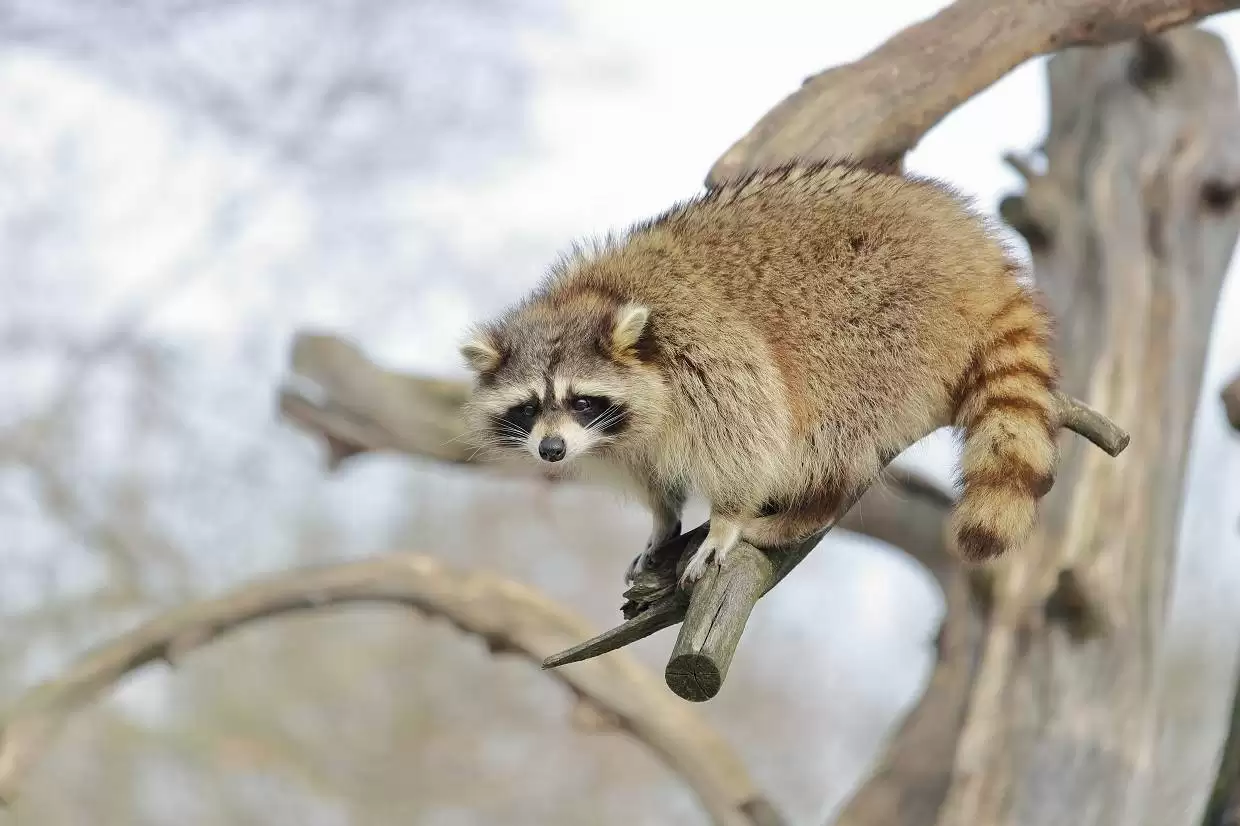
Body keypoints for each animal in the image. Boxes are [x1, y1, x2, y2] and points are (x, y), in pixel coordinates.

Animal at [458, 160, 1059, 587]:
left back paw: (815, 505)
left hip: (887, 313)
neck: (587, 299)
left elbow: (751, 430)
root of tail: (973, 252)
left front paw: (726, 516)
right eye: (529, 407)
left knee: (836, 418)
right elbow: (651, 472)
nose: (551, 451)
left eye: (581, 400)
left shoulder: (705, 345)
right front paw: (662, 517)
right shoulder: (623, 436)